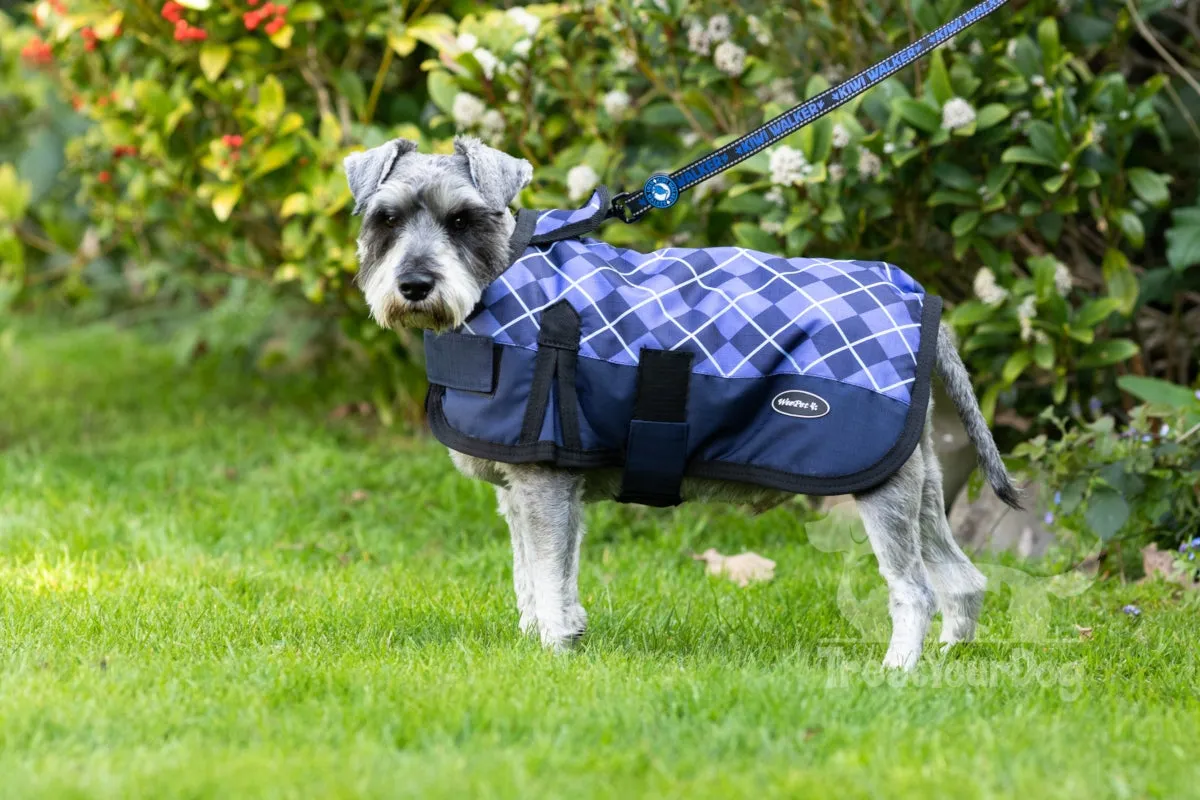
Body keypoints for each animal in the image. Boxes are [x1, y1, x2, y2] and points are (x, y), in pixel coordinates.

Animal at [343, 136, 1017, 671]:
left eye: (461, 220)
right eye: (387, 218)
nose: (414, 285)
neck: (495, 282)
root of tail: (927, 309)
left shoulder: (545, 485)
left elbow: (551, 580)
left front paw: (555, 653)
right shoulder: (523, 494)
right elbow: (532, 579)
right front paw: (539, 642)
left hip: (883, 493)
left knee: (914, 591)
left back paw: (897, 671)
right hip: (920, 486)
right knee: (963, 580)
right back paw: (948, 663)